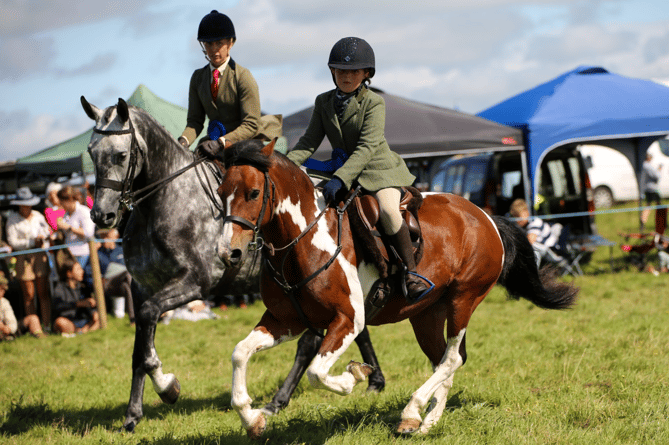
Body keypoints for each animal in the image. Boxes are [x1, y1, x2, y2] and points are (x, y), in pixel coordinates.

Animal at [81, 96, 384, 430]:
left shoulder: (193, 283)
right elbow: (140, 349)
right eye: (91, 152)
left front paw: (168, 387)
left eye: (121, 154)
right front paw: (133, 413)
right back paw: (372, 378)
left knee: (313, 342)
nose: (102, 215)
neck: (163, 204)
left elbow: (148, 327)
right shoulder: (141, 287)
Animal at [217, 140, 576, 438]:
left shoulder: (347, 320)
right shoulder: (286, 320)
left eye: (253, 193)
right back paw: (425, 422)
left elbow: (318, 372)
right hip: (426, 314)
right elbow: (239, 352)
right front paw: (253, 419)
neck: (302, 240)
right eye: (220, 193)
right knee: (447, 360)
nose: (227, 253)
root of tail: (484, 215)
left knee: (451, 358)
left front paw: (356, 375)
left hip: (464, 299)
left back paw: (412, 411)